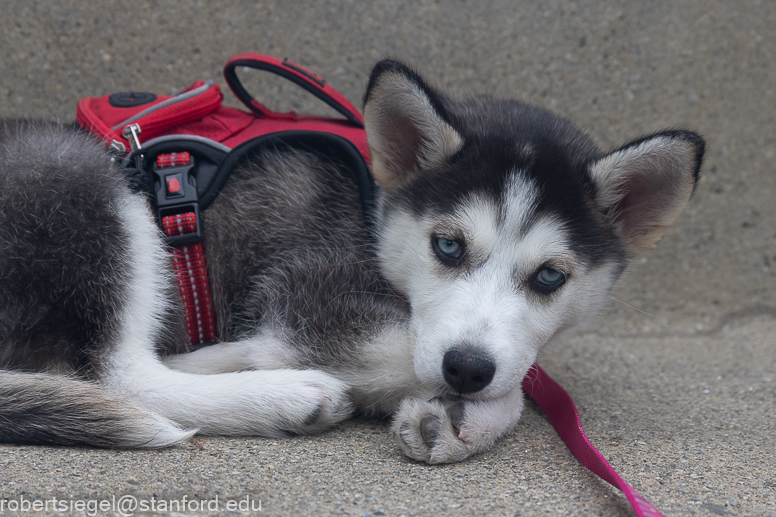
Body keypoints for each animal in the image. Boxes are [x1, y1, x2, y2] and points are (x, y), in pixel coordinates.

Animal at [0, 61, 704, 464]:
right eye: (448, 246)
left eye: (550, 277)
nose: (466, 368)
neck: (376, 210)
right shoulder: (308, 288)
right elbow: (472, 371)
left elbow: (510, 372)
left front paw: (456, 417)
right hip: (83, 178)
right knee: (118, 374)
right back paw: (278, 391)